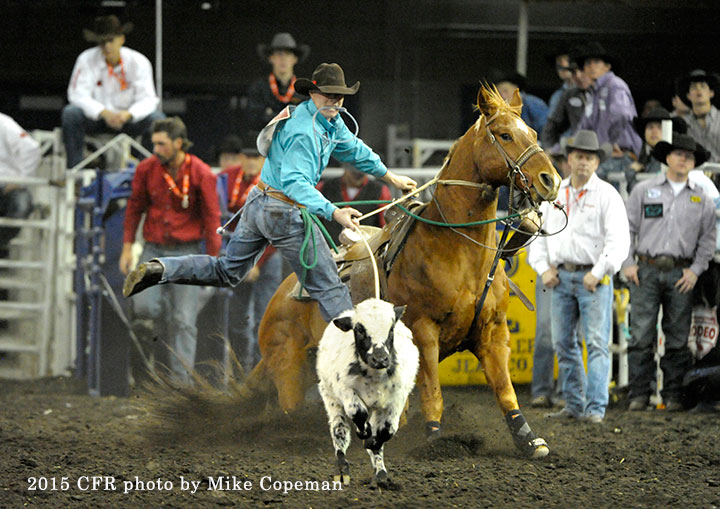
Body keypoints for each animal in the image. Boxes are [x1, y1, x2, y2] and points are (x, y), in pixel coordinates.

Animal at [240, 85, 561, 458]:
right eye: (505, 135)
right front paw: (435, 438)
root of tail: (281, 295)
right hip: (288, 366)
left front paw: (528, 439)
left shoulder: (493, 332)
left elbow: (505, 390)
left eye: (534, 134)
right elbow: (433, 391)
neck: (456, 249)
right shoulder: (424, 330)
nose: (550, 180)